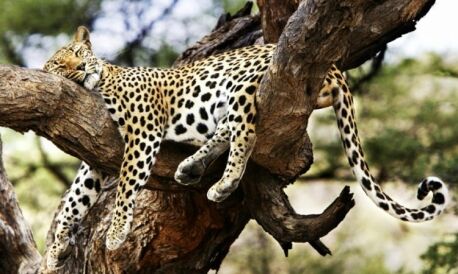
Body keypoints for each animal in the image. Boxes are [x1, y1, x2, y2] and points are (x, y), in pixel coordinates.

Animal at [43, 26, 448, 270]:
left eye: (79, 52)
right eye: (58, 65)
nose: (79, 68)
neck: (102, 82)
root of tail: (334, 67)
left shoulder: (143, 133)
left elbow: (127, 186)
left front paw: (114, 234)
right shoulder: (95, 158)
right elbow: (73, 202)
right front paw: (53, 251)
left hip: (239, 85)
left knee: (246, 133)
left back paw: (222, 183)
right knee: (228, 130)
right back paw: (191, 167)